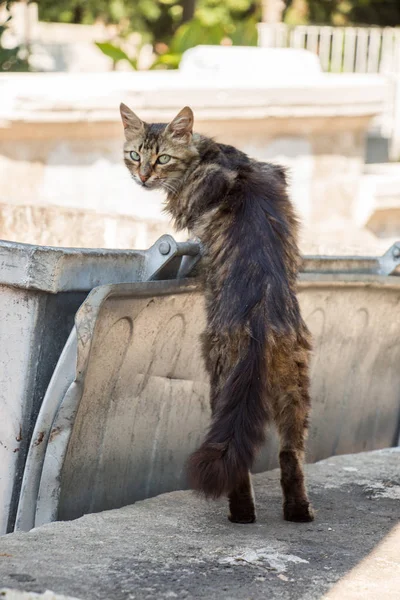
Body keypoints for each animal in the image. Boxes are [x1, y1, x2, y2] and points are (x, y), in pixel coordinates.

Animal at [120, 103, 314, 524]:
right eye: (134, 155)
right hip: (296, 384)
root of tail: (259, 318)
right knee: (290, 452)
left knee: (236, 460)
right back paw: (299, 511)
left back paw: (241, 513)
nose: (143, 177)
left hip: (220, 376)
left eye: (162, 159)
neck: (211, 154)